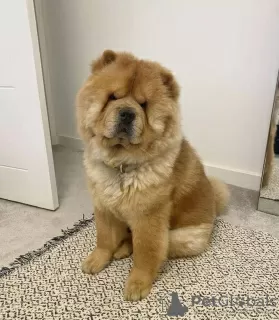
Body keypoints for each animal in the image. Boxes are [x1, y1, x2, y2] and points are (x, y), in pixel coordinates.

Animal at [76, 49, 230, 300]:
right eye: (113, 97)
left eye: (143, 104)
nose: (127, 114)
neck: (121, 164)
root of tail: (214, 207)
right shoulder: (103, 207)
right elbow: (104, 238)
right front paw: (97, 260)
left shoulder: (148, 217)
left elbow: (145, 252)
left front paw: (137, 285)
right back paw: (120, 249)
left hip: (182, 237)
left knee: (157, 246)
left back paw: (125, 250)